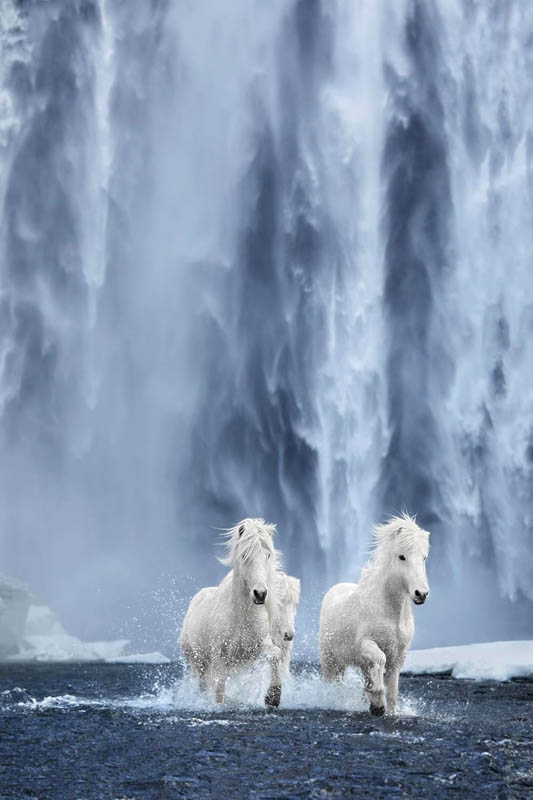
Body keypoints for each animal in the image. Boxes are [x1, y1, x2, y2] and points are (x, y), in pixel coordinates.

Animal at [179, 518, 284, 706]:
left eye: (268, 555)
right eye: (244, 555)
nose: (260, 593)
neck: (241, 617)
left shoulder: (258, 645)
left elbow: (275, 654)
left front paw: (273, 697)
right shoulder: (219, 655)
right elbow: (219, 688)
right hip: (197, 661)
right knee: (202, 683)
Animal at [319, 513, 430, 716]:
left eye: (424, 557)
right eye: (402, 556)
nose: (421, 594)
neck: (389, 612)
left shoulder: (398, 655)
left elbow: (392, 690)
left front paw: (384, 707)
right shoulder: (365, 644)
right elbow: (380, 659)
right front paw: (377, 701)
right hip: (331, 660)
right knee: (333, 683)